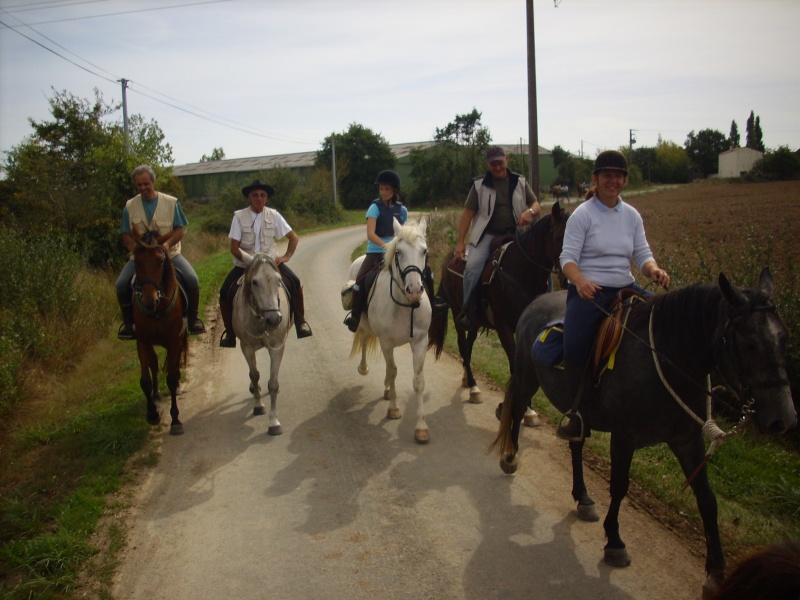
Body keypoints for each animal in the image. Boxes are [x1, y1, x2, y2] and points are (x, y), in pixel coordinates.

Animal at [131, 223, 189, 434]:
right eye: (136, 262)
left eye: (161, 261)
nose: (149, 300)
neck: (157, 310)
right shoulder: (142, 340)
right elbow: (145, 380)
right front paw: (153, 414)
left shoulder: (174, 340)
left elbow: (171, 377)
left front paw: (176, 420)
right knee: (154, 363)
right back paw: (156, 396)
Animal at [233, 251, 292, 434]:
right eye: (254, 282)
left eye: (278, 280)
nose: (273, 319)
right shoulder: (247, 347)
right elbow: (255, 375)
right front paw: (258, 405)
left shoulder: (277, 347)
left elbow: (272, 383)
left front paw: (274, 422)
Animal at [350, 218, 434, 442]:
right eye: (399, 252)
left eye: (424, 251)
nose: (414, 291)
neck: (405, 305)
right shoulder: (386, 342)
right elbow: (394, 371)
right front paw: (394, 409)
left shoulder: (420, 342)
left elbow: (418, 381)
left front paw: (421, 427)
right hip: (364, 325)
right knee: (364, 339)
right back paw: (364, 368)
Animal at [432, 200, 568, 404]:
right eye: (559, 237)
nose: (569, 277)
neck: (520, 274)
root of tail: (451, 255)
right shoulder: (503, 325)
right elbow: (513, 364)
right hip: (457, 313)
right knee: (463, 346)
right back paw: (473, 386)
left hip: (475, 321)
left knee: (469, 346)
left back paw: (467, 379)